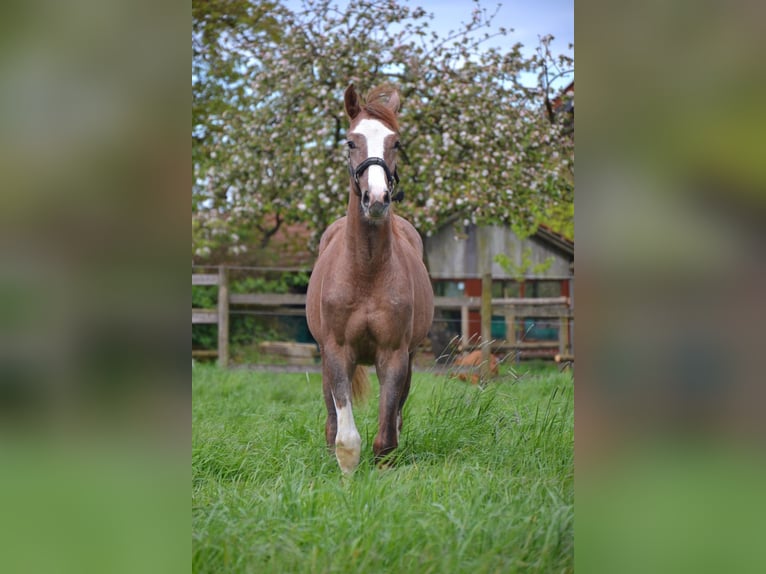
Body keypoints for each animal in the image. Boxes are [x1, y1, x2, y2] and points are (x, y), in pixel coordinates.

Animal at [308, 83, 438, 474]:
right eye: (351, 142)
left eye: (396, 142)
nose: (377, 199)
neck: (365, 271)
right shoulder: (337, 352)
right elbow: (346, 437)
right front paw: (348, 476)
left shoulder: (394, 355)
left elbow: (386, 436)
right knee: (331, 419)